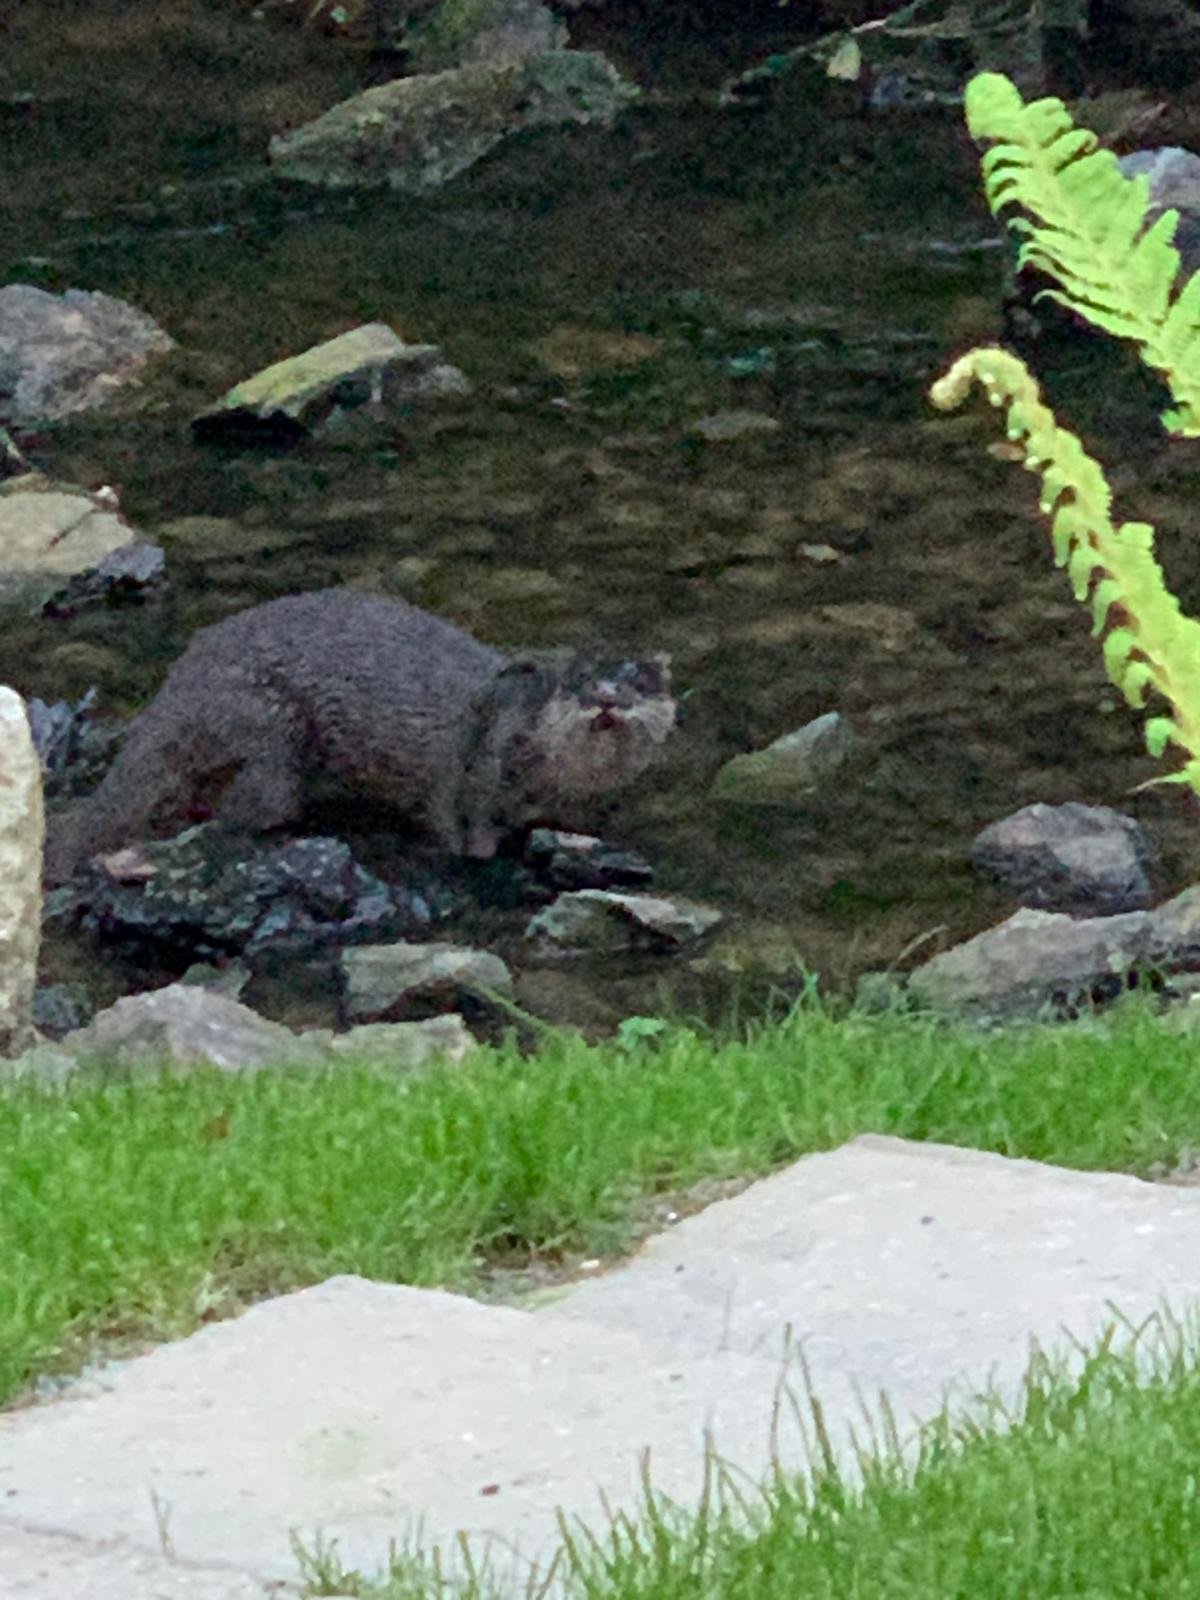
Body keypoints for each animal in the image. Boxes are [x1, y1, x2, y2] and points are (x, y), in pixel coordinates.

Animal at [43, 589, 676, 883]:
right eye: (578, 682)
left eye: (640, 681)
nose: (607, 696)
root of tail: (181, 681)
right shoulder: (469, 779)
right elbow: (458, 831)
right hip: (270, 728)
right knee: (246, 805)